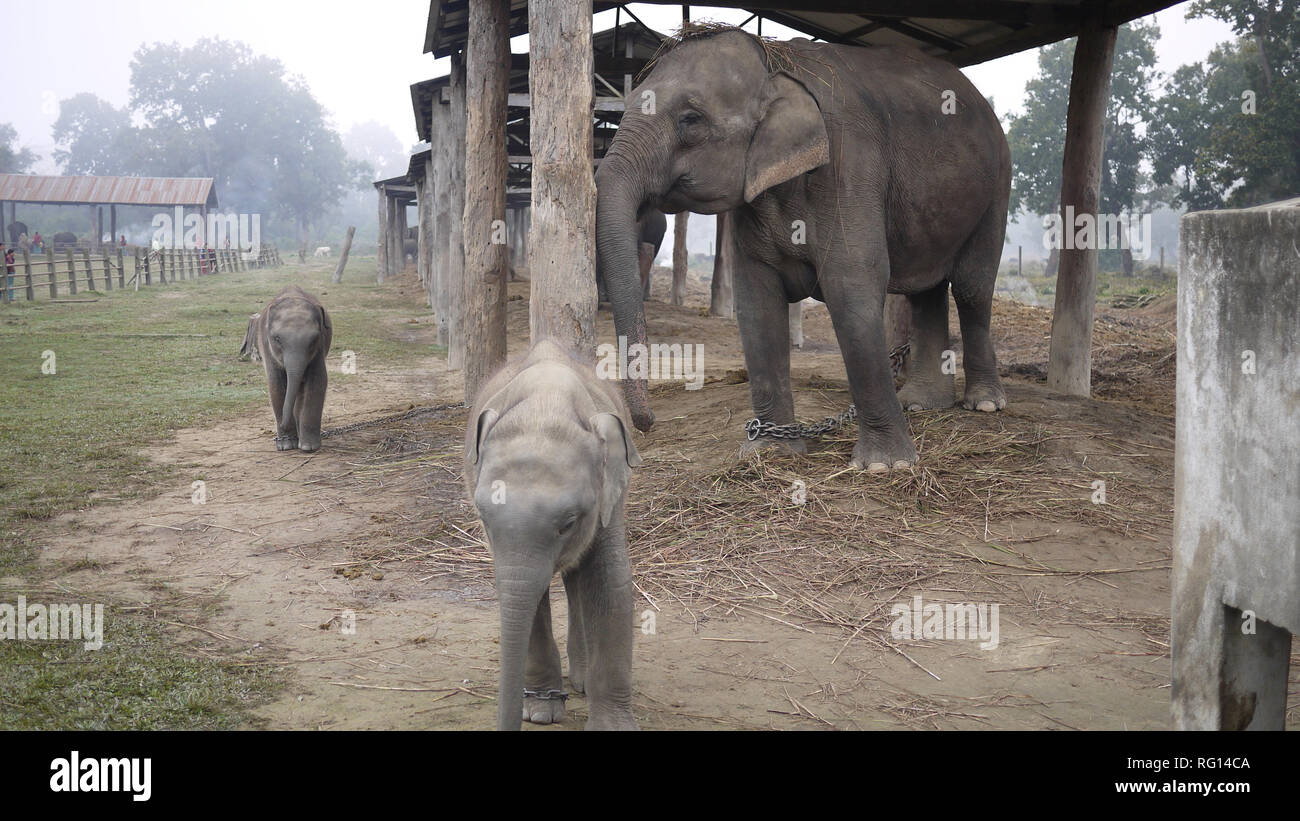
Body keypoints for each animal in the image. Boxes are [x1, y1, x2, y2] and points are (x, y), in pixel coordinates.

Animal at [245, 286, 332, 452]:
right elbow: (276, 385)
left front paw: (308, 447)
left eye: (314, 339)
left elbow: (318, 381)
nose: (283, 425)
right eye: (277, 339)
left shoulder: (319, 348)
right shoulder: (268, 349)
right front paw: (286, 445)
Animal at [464, 339, 641, 731]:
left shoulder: (609, 493)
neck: (546, 403)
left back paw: (581, 682)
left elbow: (611, 582)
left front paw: (612, 726)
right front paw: (540, 712)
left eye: (569, 523)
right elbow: (526, 592)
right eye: (484, 518)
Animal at [595, 26, 1011, 471]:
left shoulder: (849, 169)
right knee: (926, 291)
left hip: (997, 188)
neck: (775, 62)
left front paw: (885, 465)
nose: (647, 425)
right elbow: (756, 302)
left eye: (691, 120)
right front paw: (769, 450)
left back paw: (983, 404)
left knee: (970, 287)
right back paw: (920, 404)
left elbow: (852, 288)